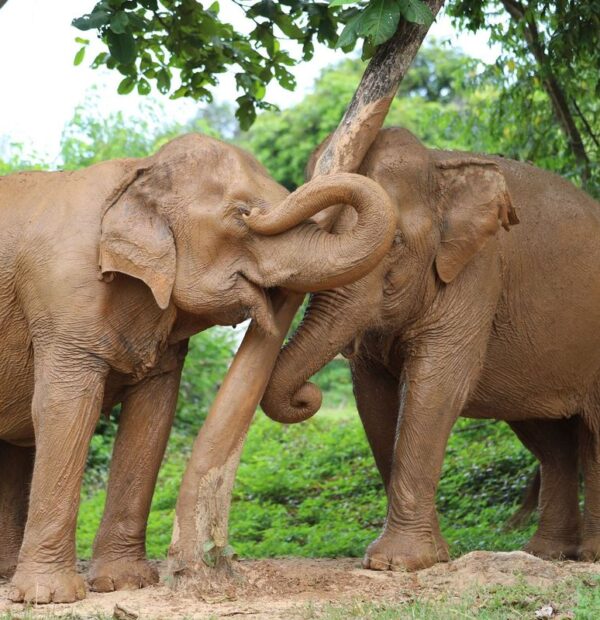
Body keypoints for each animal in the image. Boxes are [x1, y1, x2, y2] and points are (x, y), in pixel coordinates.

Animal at [0, 133, 396, 604]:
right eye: (240, 214)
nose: (308, 395)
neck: (138, 171)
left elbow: (152, 418)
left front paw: (125, 582)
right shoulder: (62, 299)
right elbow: (64, 411)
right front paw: (50, 596)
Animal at [262, 126, 600, 572]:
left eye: (395, 244)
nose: (306, 396)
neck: (440, 166)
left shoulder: (478, 271)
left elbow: (438, 384)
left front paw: (397, 563)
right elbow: (372, 397)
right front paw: (423, 558)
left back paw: (588, 555)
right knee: (551, 441)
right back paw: (546, 554)